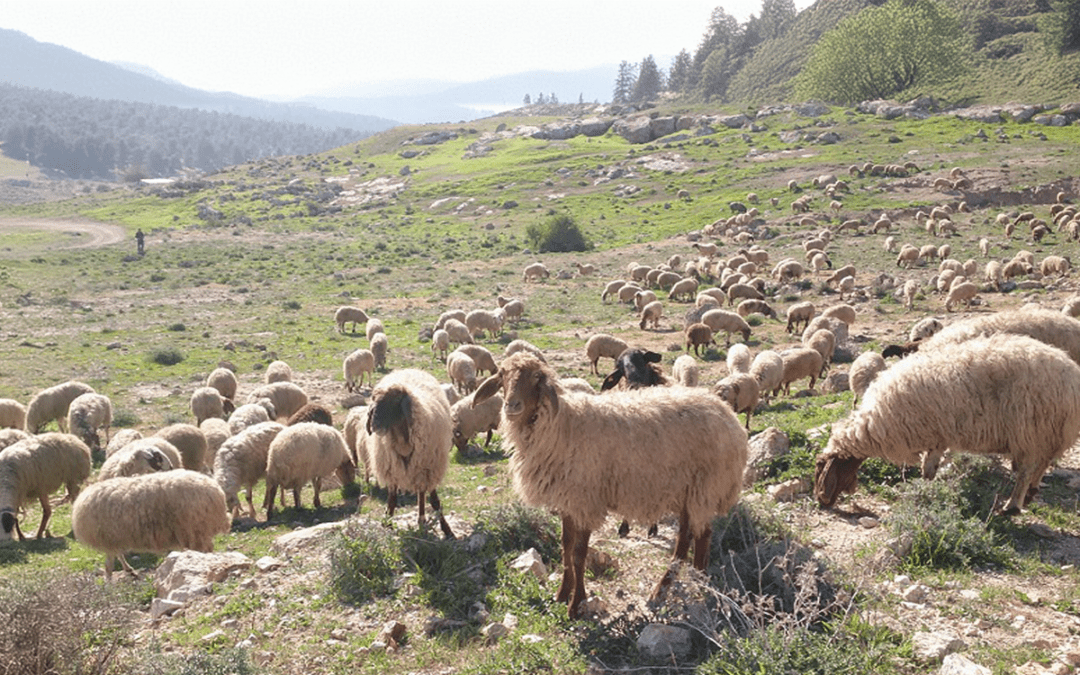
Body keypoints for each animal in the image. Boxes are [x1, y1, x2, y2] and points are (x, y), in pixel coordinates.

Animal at [73, 468, 232, 578]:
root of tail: (216, 492)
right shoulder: (113, 537)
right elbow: (116, 556)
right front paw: (127, 570)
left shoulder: (108, 538)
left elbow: (109, 564)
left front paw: (109, 583)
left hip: (195, 530)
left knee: (205, 550)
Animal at [367, 369, 455, 537]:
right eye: (374, 401)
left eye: (395, 400)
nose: (375, 425)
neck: (402, 440)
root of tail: (408, 370)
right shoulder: (393, 471)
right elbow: (392, 500)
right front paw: (387, 524)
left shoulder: (429, 468)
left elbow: (435, 502)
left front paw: (447, 530)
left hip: (421, 468)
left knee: (421, 494)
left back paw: (422, 520)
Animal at [473, 352, 751, 617]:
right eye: (502, 374)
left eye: (536, 378)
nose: (512, 405)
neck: (562, 425)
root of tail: (728, 414)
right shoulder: (568, 501)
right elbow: (565, 547)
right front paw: (562, 593)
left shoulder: (585, 500)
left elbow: (578, 554)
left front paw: (576, 604)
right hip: (687, 491)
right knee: (684, 542)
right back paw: (664, 590)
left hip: (706, 487)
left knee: (703, 536)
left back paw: (699, 586)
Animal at [812, 334, 1080, 514]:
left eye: (818, 468)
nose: (820, 501)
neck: (876, 423)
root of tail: (1072, 376)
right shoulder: (937, 438)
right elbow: (929, 470)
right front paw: (925, 489)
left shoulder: (934, 434)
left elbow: (928, 470)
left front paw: (922, 492)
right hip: (1047, 432)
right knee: (1042, 464)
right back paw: (1030, 494)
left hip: (1032, 429)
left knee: (1026, 470)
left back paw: (1012, 506)